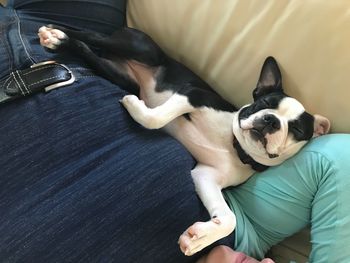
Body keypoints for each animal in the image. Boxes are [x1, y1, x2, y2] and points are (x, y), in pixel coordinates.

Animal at [38, 25, 330, 256]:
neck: (234, 146)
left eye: (296, 129)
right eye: (264, 104)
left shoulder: (205, 176)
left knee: (91, 51)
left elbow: (228, 218)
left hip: (117, 73)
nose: (271, 120)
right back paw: (57, 37)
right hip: (141, 48)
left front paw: (200, 238)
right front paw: (137, 108)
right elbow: (155, 118)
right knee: (92, 36)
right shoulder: (192, 95)